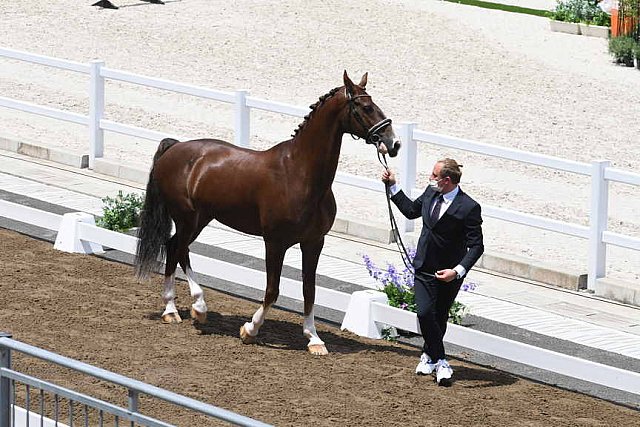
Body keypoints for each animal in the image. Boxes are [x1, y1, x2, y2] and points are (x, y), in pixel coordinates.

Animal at [134, 72, 400, 356]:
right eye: (365, 107)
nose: (393, 143)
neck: (299, 173)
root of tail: (175, 147)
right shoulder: (275, 242)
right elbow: (273, 289)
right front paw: (250, 330)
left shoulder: (314, 242)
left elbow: (309, 289)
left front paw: (314, 338)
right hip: (187, 218)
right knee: (175, 249)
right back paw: (183, 309)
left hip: (200, 220)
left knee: (177, 248)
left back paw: (187, 309)